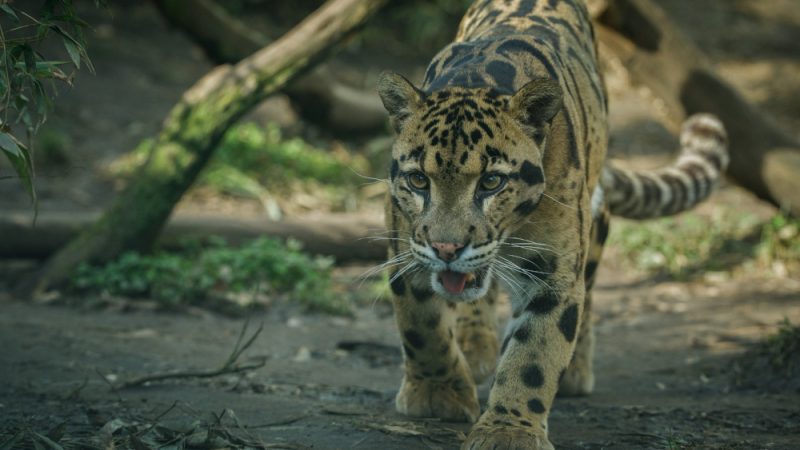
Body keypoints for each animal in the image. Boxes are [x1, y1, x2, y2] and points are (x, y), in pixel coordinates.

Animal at [375, 0, 729, 449]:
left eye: (491, 182)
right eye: (419, 180)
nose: (447, 249)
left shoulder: (553, 269)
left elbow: (534, 354)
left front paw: (508, 430)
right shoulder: (406, 249)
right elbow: (421, 324)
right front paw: (439, 395)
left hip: (594, 219)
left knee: (587, 292)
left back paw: (575, 370)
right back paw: (475, 345)